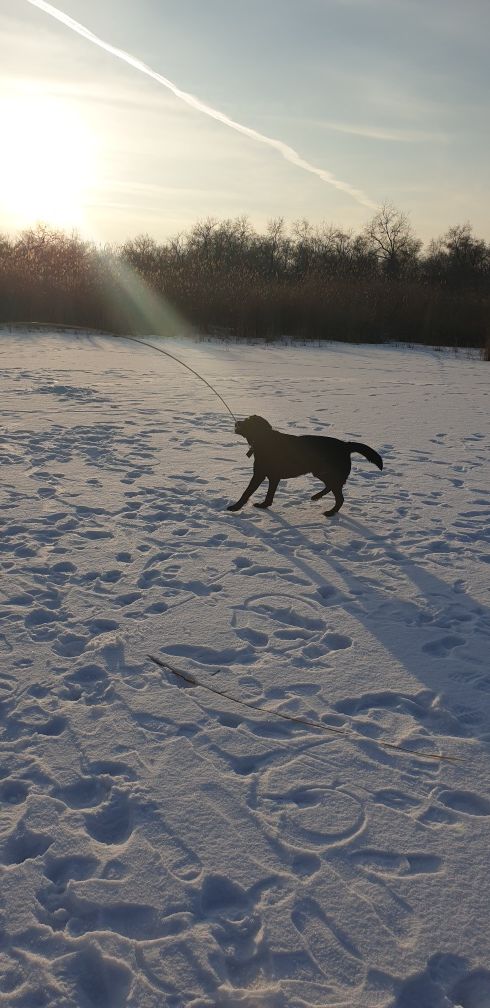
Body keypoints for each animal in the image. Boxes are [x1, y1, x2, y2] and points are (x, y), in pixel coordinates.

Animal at [226, 413, 383, 516]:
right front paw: (264, 505)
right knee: (331, 487)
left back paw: (330, 512)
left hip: (327, 473)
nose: (236, 423)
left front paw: (235, 507)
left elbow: (246, 492)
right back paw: (316, 496)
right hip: (321, 472)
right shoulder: (273, 477)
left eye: (248, 422)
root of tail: (345, 446)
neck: (265, 440)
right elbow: (269, 495)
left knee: (340, 497)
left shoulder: (259, 474)